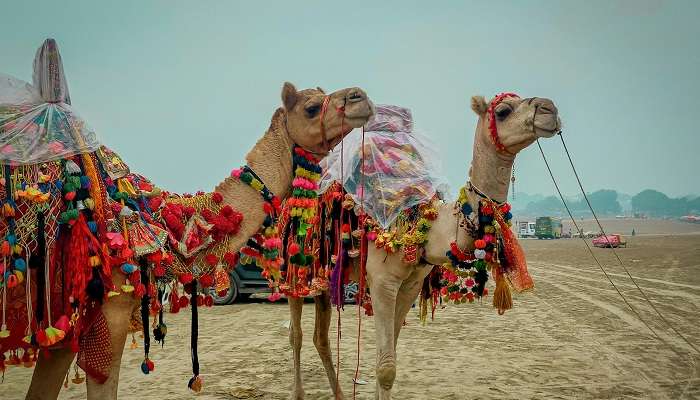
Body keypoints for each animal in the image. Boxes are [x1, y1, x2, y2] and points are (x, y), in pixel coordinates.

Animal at [286, 92, 564, 398]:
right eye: (503, 110)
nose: (549, 109)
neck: (428, 226)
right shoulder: (382, 280)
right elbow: (386, 367)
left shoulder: (411, 284)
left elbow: (387, 359)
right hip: (295, 264)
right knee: (296, 334)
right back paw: (298, 392)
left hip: (324, 274)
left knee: (320, 336)